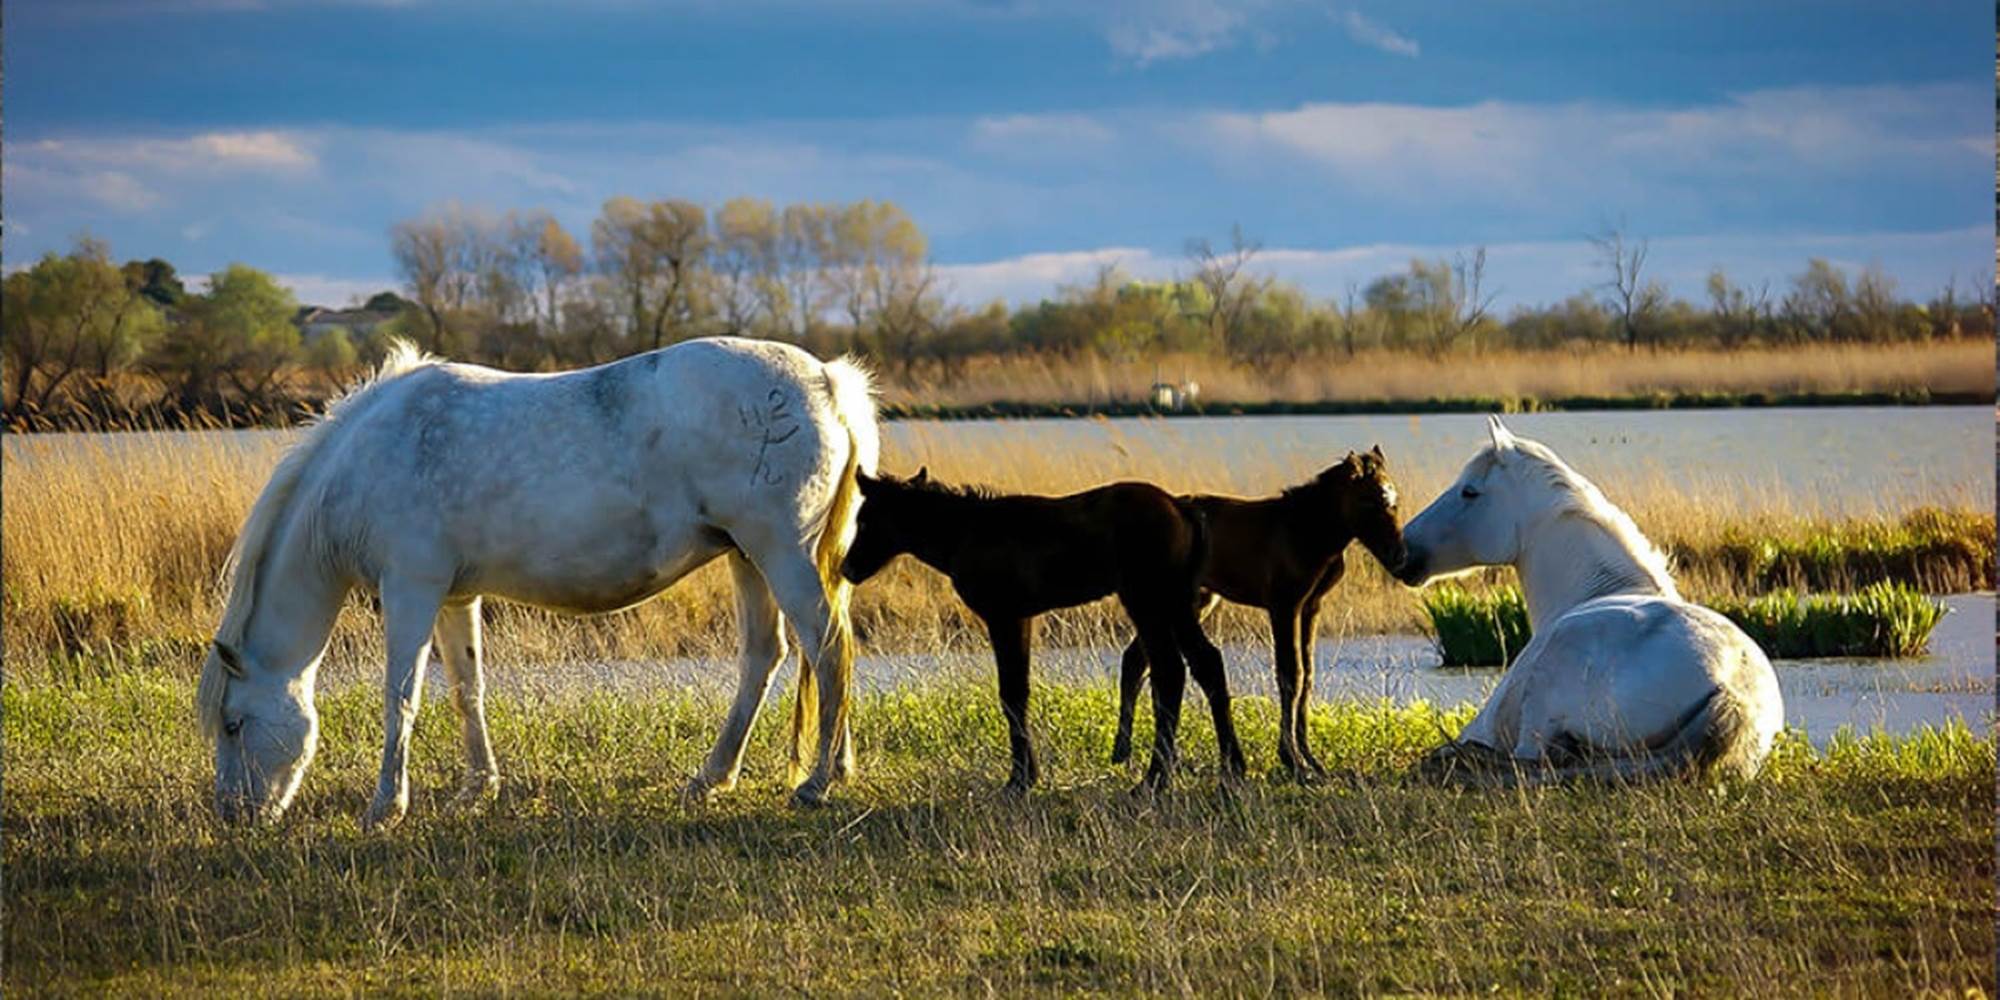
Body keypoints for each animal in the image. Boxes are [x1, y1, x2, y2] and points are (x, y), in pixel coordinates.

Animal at [195, 336, 879, 828]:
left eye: (232, 725)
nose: (234, 816)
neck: (368, 462)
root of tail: (825, 383)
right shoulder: (454, 596)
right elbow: (466, 689)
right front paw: (477, 790)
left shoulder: (411, 589)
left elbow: (402, 698)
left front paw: (386, 807)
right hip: (747, 556)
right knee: (771, 655)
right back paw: (728, 776)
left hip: (778, 551)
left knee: (826, 647)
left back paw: (816, 782)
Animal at [838, 469, 1245, 795]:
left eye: (865, 519)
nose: (848, 568)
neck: (963, 535)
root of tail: (1184, 510)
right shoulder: (1022, 617)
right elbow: (1020, 692)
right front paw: (1028, 774)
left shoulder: (1002, 614)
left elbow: (1011, 694)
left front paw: (1019, 780)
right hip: (1177, 603)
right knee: (1205, 664)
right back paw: (1232, 769)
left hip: (1148, 600)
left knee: (1170, 671)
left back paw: (1154, 779)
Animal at [1110, 447, 1408, 781]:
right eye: (1368, 501)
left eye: (1394, 499)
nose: (1399, 555)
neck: (1309, 532)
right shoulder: (1283, 604)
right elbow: (1290, 674)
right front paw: (1292, 760)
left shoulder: (1311, 605)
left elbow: (1308, 674)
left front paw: (1312, 760)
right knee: (1139, 660)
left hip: (1196, 601)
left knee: (1137, 659)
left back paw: (1126, 752)